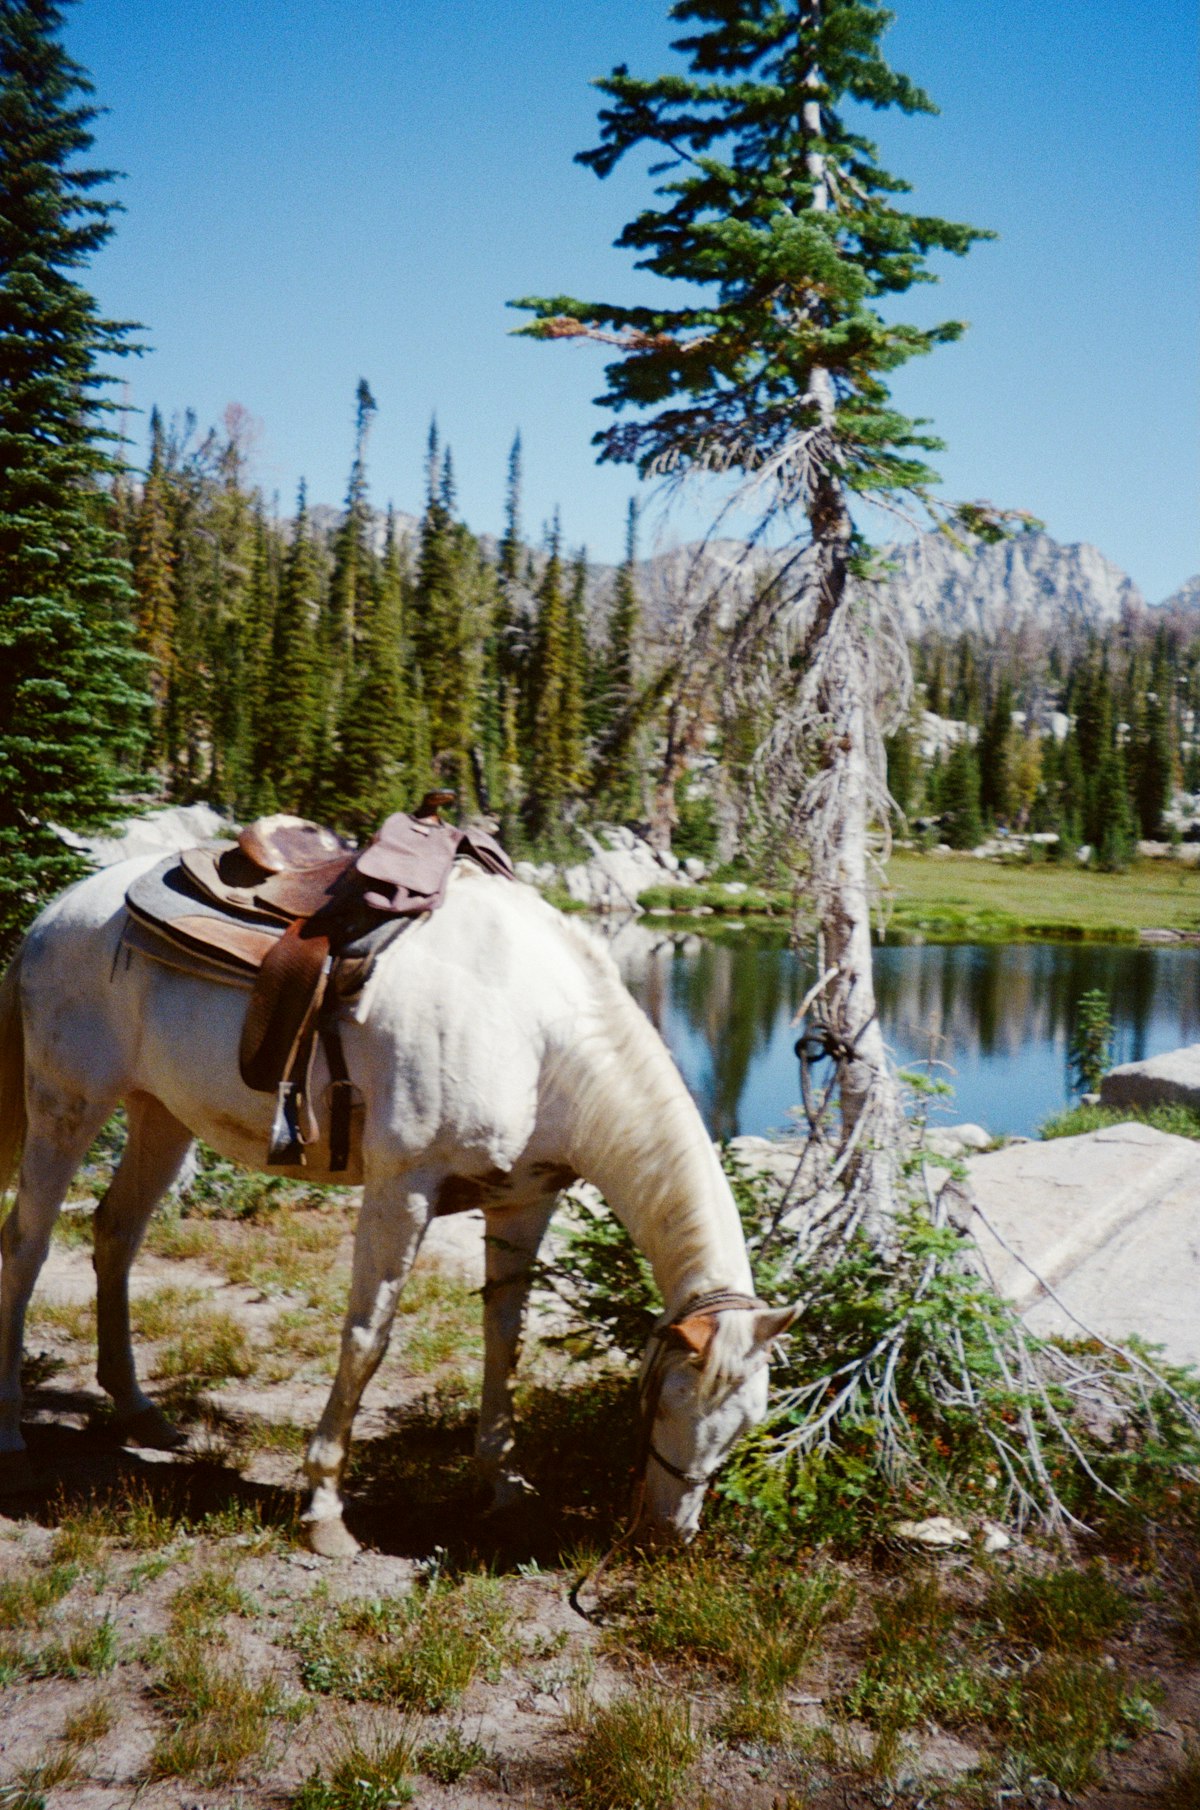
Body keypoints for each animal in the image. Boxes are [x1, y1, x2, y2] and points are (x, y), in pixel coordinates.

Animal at [0, 854, 797, 1554]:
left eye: (748, 1423)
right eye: (669, 1401)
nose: (669, 1537)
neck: (537, 1036)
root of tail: (57, 911)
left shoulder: (522, 1202)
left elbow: (504, 1338)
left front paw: (501, 1485)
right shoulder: (403, 1189)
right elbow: (367, 1340)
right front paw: (324, 1508)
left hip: (161, 1114)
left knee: (116, 1233)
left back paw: (140, 1414)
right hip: (67, 1104)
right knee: (27, 1246)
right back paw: (14, 1442)